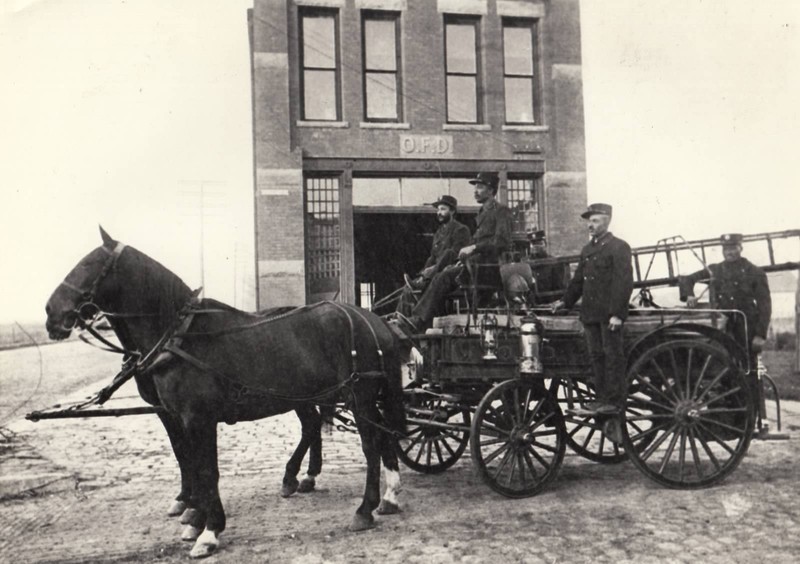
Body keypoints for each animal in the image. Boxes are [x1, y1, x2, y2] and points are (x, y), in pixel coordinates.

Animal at [45, 227, 406, 556]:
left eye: (89, 264)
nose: (51, 313)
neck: (179, 336)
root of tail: (375, 321)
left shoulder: (198, 419)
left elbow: (206, 470)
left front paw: (208, 529)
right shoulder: (178, 417)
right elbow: (191, 462)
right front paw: (195, 518)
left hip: (359, 397)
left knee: (370, 444)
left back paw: (364, 508)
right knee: (363, 433)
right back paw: (383, 495)